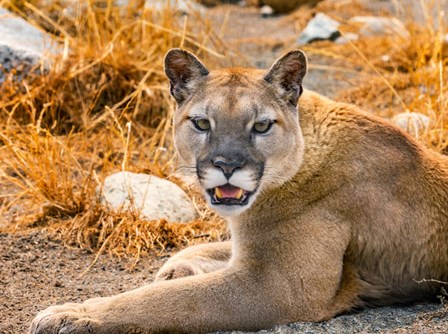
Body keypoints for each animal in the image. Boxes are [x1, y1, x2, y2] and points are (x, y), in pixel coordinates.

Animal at [29, 48, 446, 332]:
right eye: (201, 123)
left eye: (261, 126)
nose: (227, 166)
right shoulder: (251, 249)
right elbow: (203, 251)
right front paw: (177, 269)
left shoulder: (280, 286)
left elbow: (166, 300)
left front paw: (72, 313)